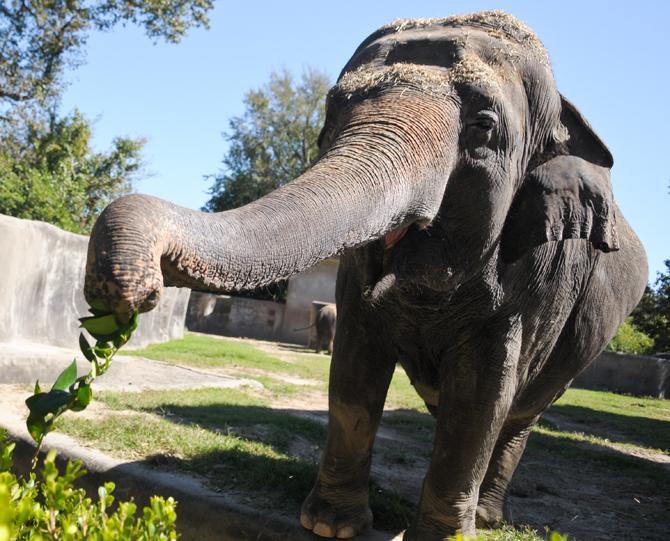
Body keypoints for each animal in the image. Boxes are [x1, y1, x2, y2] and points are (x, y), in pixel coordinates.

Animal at [81, 11, 648, 540]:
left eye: (484, 126)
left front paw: (436, 538)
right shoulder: (354, 286)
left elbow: (481, 394)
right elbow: (356, 366)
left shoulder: (534, 281)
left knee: (518, 415)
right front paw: (330, 524)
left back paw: (486, 518)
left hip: (576, 347)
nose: (130, 292)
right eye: (333, 110)